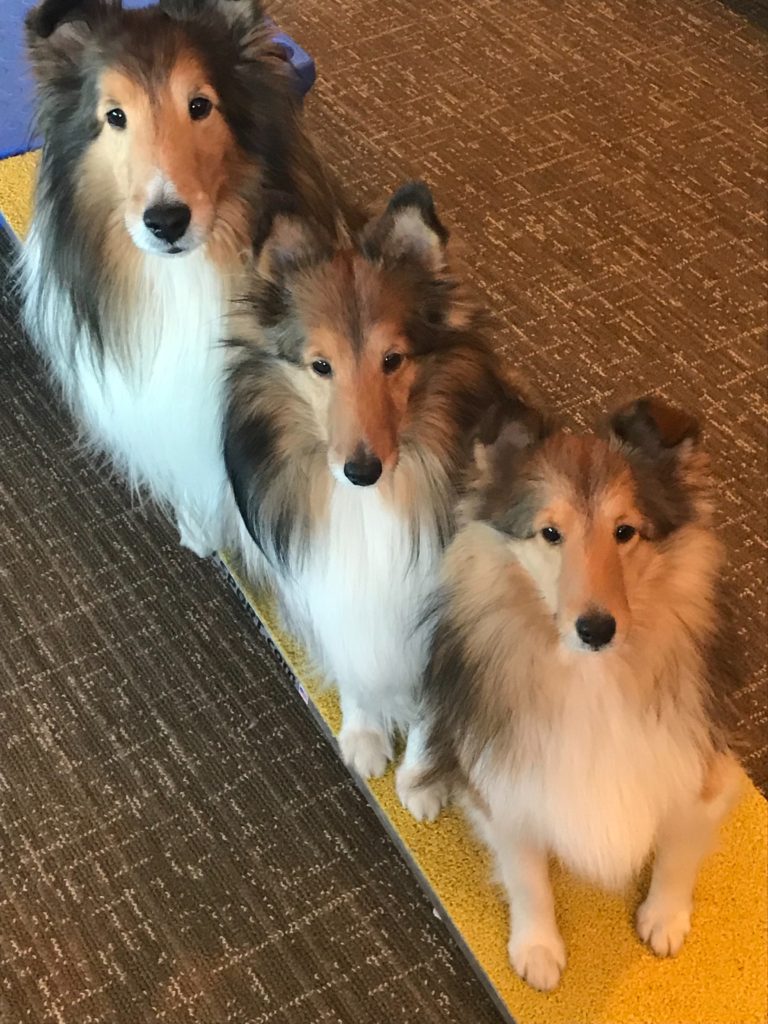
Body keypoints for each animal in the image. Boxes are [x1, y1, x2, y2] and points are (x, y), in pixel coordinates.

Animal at [225, 184, 518, 774]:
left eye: (393, 359)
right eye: (321, 365)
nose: (361, 471)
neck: (370, 505)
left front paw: (418, 778)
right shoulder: (341, 596)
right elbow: (357, 662)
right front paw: (364, 736)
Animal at [403, 393, 745, 991]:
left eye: (625, 531)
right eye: (550, 533)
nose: (596, 629)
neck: (593, 679)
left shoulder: (701, 768)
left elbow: (679, 849)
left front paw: (664, 920)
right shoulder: (507, 792)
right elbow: (527, 877)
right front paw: (538, 950)